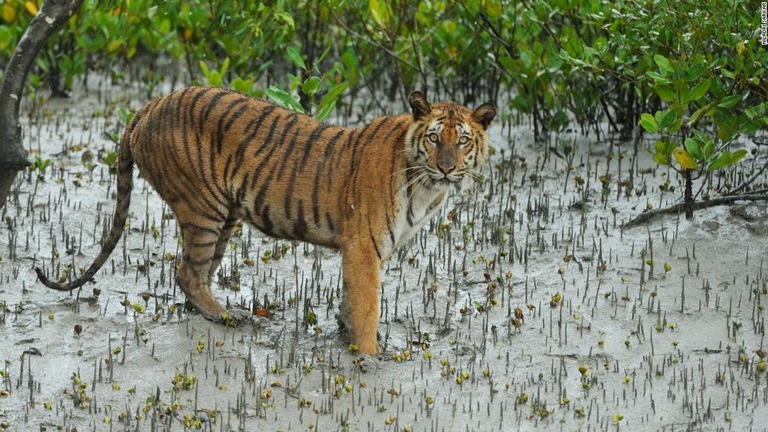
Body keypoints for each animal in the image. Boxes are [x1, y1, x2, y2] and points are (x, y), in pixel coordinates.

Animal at [36, 85, 496, 354]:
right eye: (434, 138)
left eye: (463, 140)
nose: (448, 168)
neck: (425, 185)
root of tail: (149, 104)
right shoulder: (364, 248)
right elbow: (368, 308)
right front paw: (369, 357)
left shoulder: (361, 252)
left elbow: (350, 303)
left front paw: (345, 335)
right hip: (204, 209)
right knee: (186, 272)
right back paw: (225, 317)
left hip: (224, 217)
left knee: (195, 274)